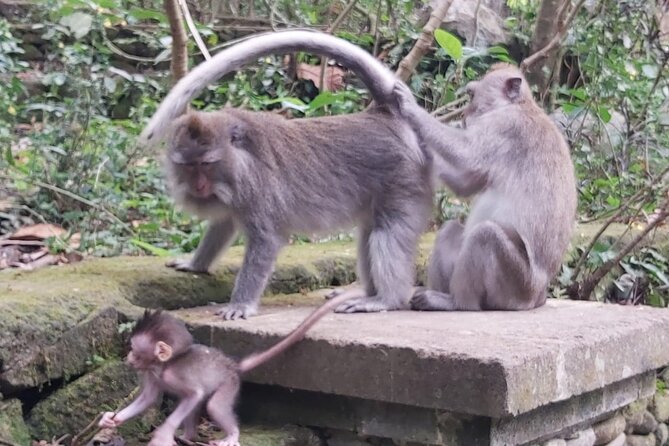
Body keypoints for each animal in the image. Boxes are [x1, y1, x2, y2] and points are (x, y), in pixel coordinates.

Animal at [98, 288, 364, 446]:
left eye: (134, 349)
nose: (128, 358)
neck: (163, 366)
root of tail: (232, 365)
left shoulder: (175, 374)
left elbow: (193, 394)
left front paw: (163, 433)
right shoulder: (151, 374)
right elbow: (148, 398)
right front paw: (111, 420)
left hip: (229, 384)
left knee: (213, 405)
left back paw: (230, 435)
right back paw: (188, 436)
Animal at [139, 30, 433, 320]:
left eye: (206, 164)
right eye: (189, 166)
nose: (199, 186)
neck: (242, 164)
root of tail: (383, 114)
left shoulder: (258, 193)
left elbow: (265, 242)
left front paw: (240, 305)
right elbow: (223, 225)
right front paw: (195, 264)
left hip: (403, 180)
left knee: (386, 232)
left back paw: (385, 299)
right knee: (368, 235)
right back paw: (368, 293)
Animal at [392, 63, 577, 311]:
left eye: (471, 95)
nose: (463, 115)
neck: (520, 105)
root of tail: (539, 296)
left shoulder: (506, 126)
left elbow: (466, 154)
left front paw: (412, 109)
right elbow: (465, 183)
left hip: (516, 285)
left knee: (486, 235)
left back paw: (456, 302)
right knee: (451, 228)